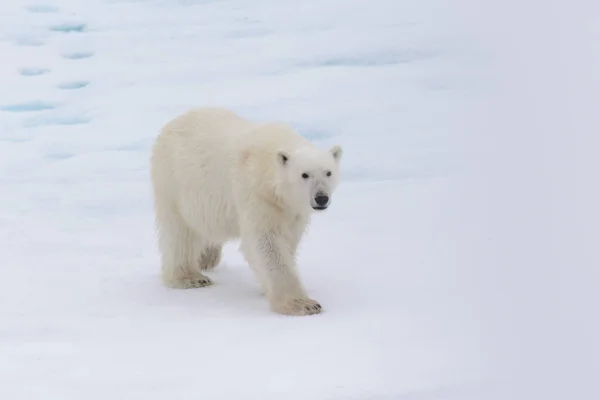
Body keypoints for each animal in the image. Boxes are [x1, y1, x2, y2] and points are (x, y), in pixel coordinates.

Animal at [151, 107, 342, 316]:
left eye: (328, 172)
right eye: (304, 175)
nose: (321, 198)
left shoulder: (290, 209)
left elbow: (289, 239)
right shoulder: (255, 193)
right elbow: (267, 242)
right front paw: (303, 304)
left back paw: (207, 257)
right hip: (174, 182)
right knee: (180, 232)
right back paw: (190, 277)